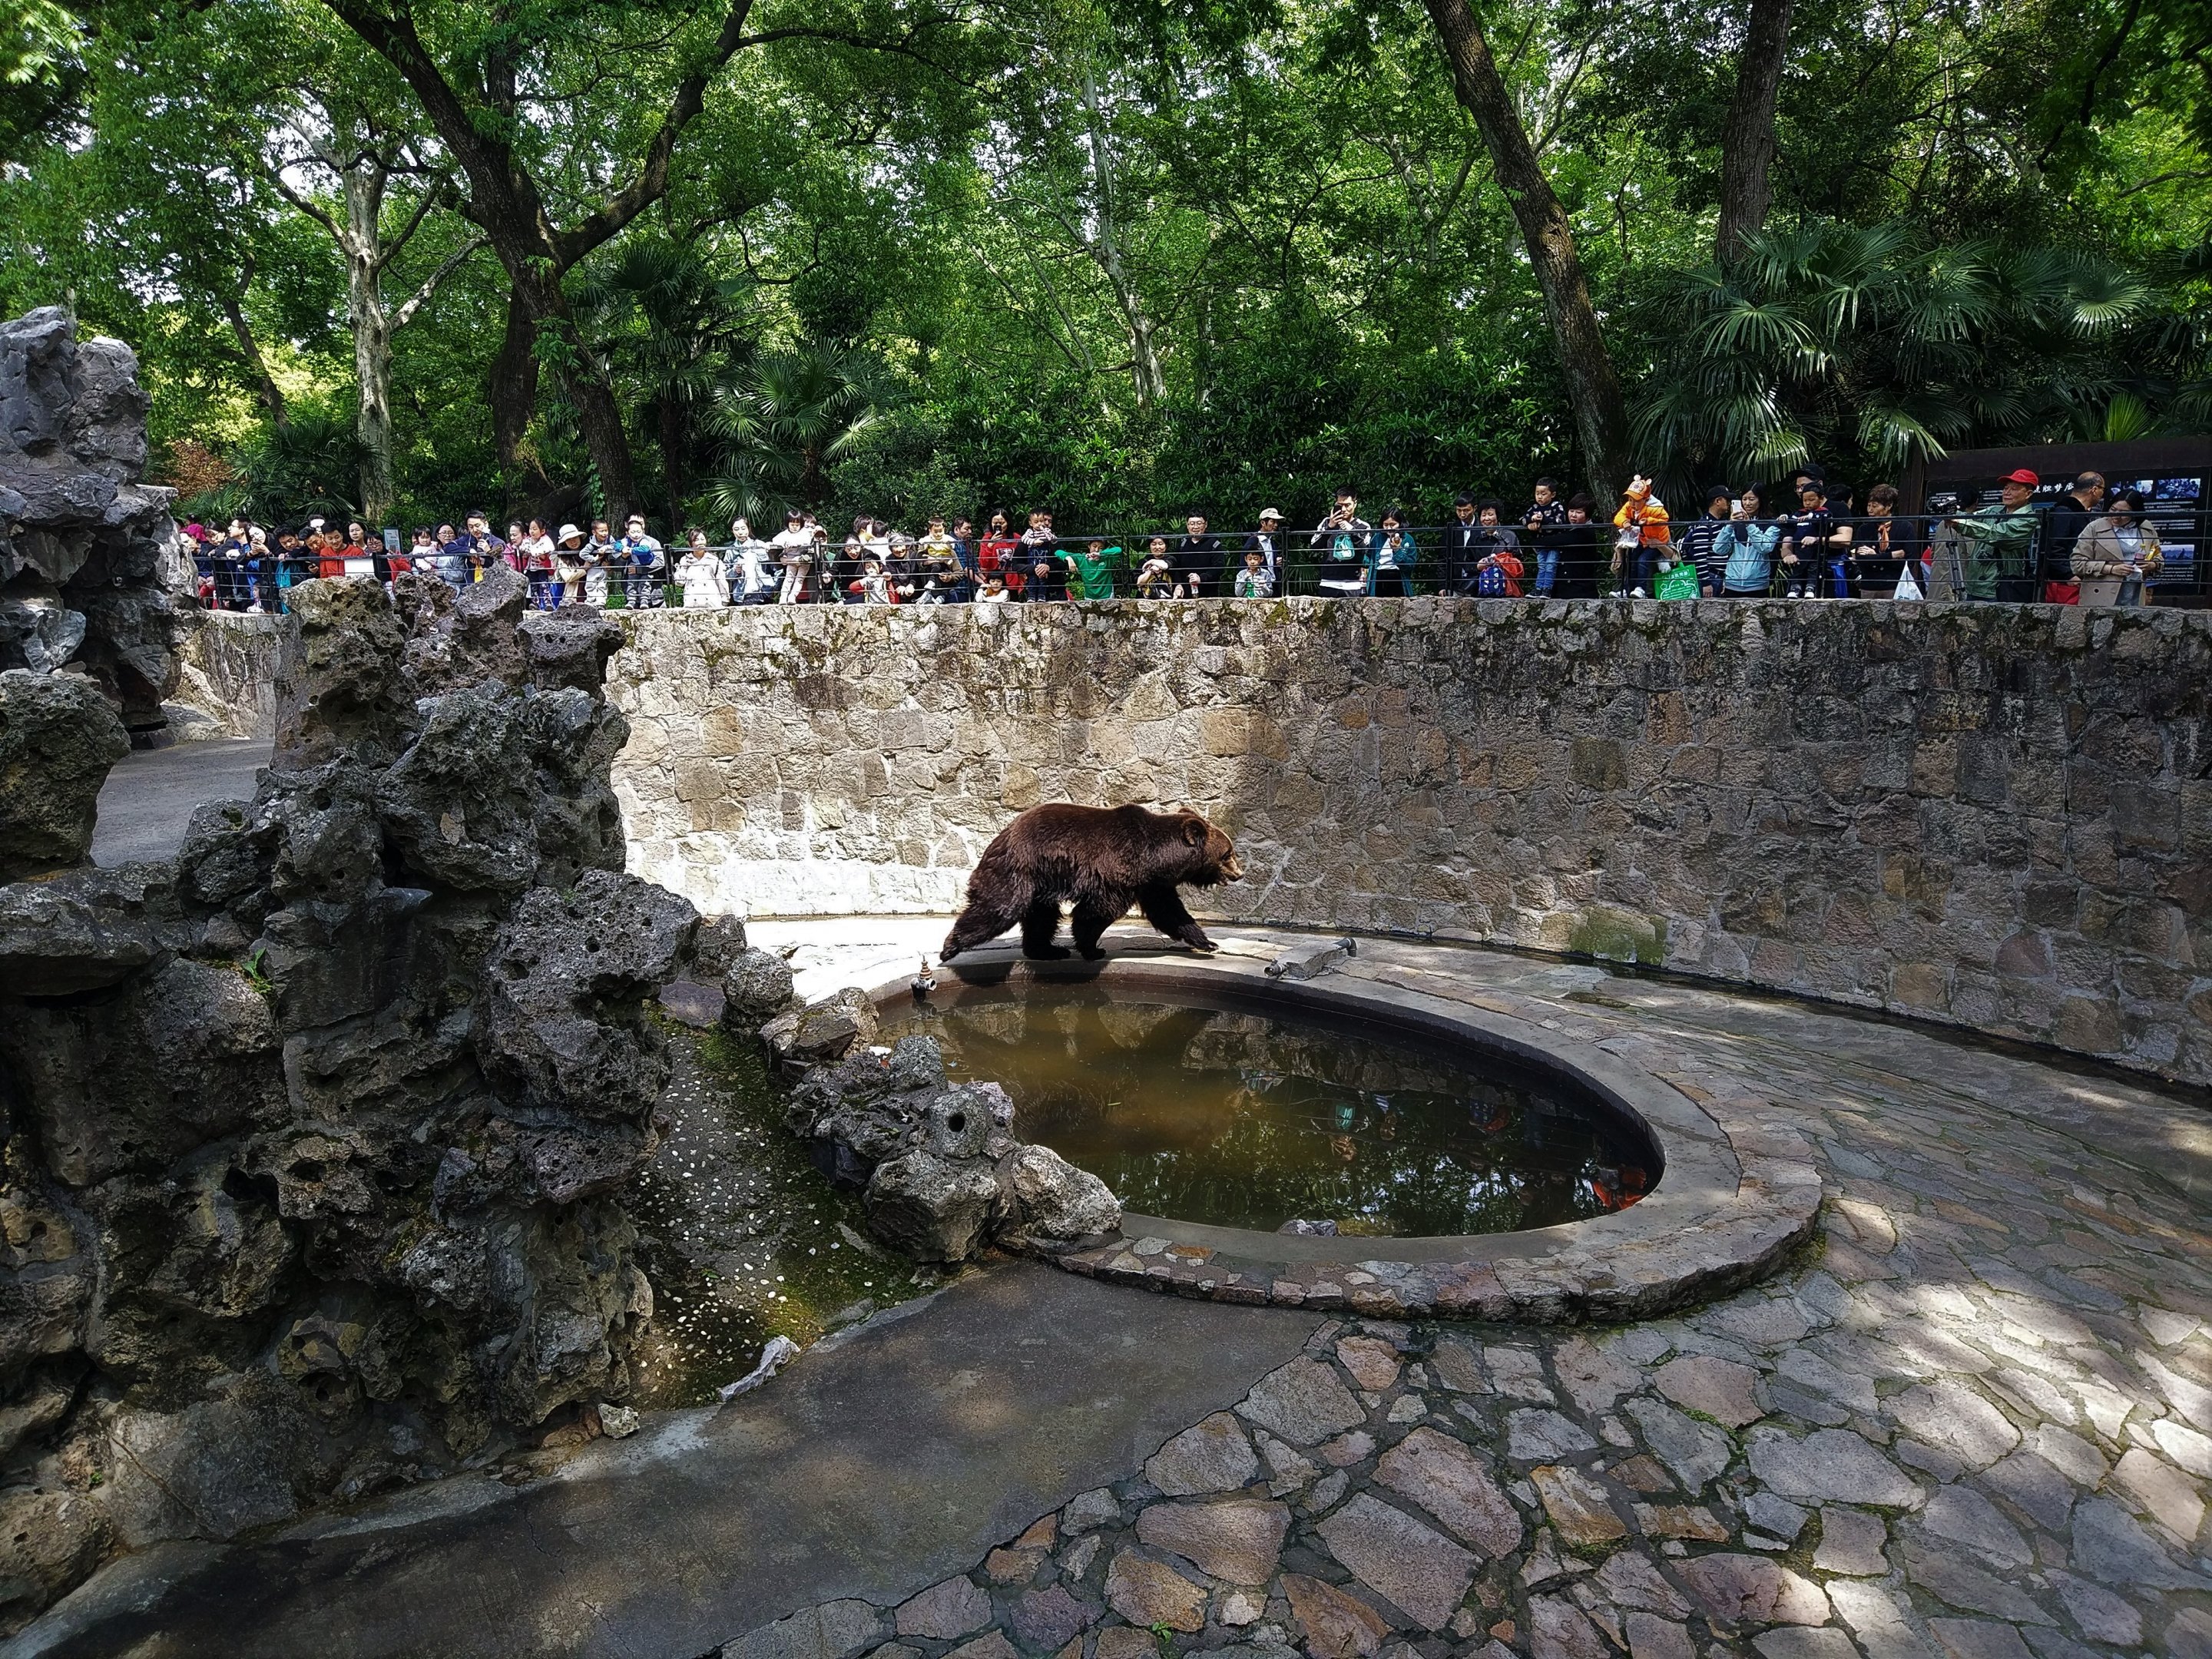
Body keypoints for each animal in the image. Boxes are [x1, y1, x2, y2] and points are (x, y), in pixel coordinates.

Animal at [940, 804, 1245, 962]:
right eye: (1227, 853)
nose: (1240, 873)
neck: (1156, 856)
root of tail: (999, 837)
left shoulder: (1151, 883)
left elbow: (1171, 913)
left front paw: (1208, 944)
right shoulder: (1119, 871)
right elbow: (1097, 911)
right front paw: (1093, 948)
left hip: (1039, 883)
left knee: (1041, 917)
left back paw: (1047, 950)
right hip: (1019, 870)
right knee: (1000, 907)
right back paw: (950, 947)